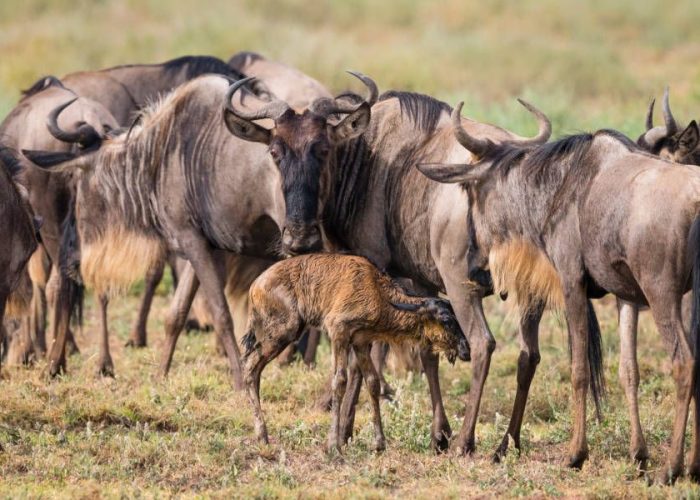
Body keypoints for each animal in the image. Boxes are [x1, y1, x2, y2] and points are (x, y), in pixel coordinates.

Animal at [242, 254, 470, 454]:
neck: (377, 290)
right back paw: (262, 435)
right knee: (250, 368)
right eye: (447, 320)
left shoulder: (361, 342)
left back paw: (261, 435)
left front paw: (379, 443)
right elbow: (340, 381)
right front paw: (334, 445)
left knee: (255, 370)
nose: (466, 350)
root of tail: (255, 286)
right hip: (284, 331)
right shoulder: (338, 331)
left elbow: (372, 382)